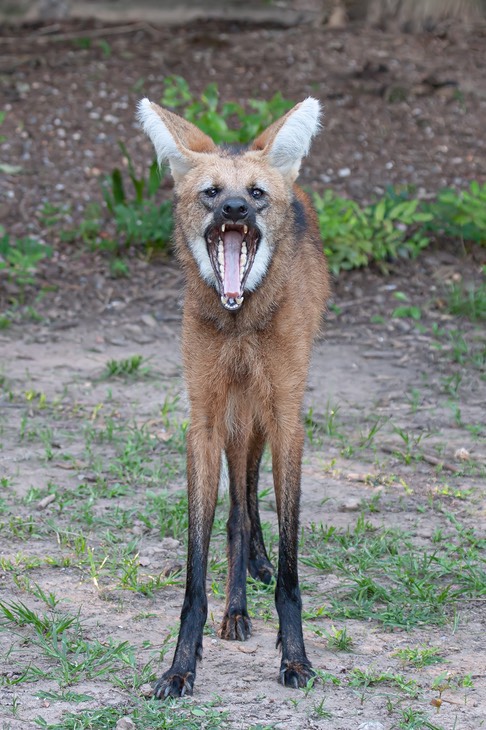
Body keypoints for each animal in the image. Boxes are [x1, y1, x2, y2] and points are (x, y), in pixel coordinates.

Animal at [139, 95, 332, 692]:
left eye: (255, 193)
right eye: (210, 192)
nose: (234, 211)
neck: (240, 321)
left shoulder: (286, 412)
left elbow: (291, 568)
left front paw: (295, 658)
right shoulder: (205, 418)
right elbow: (197, 564)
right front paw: (181, 665)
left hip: (261, 411)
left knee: (249, 492)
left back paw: (255, 575)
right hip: (236, 412)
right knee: (238, 509)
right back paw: (238, 607)